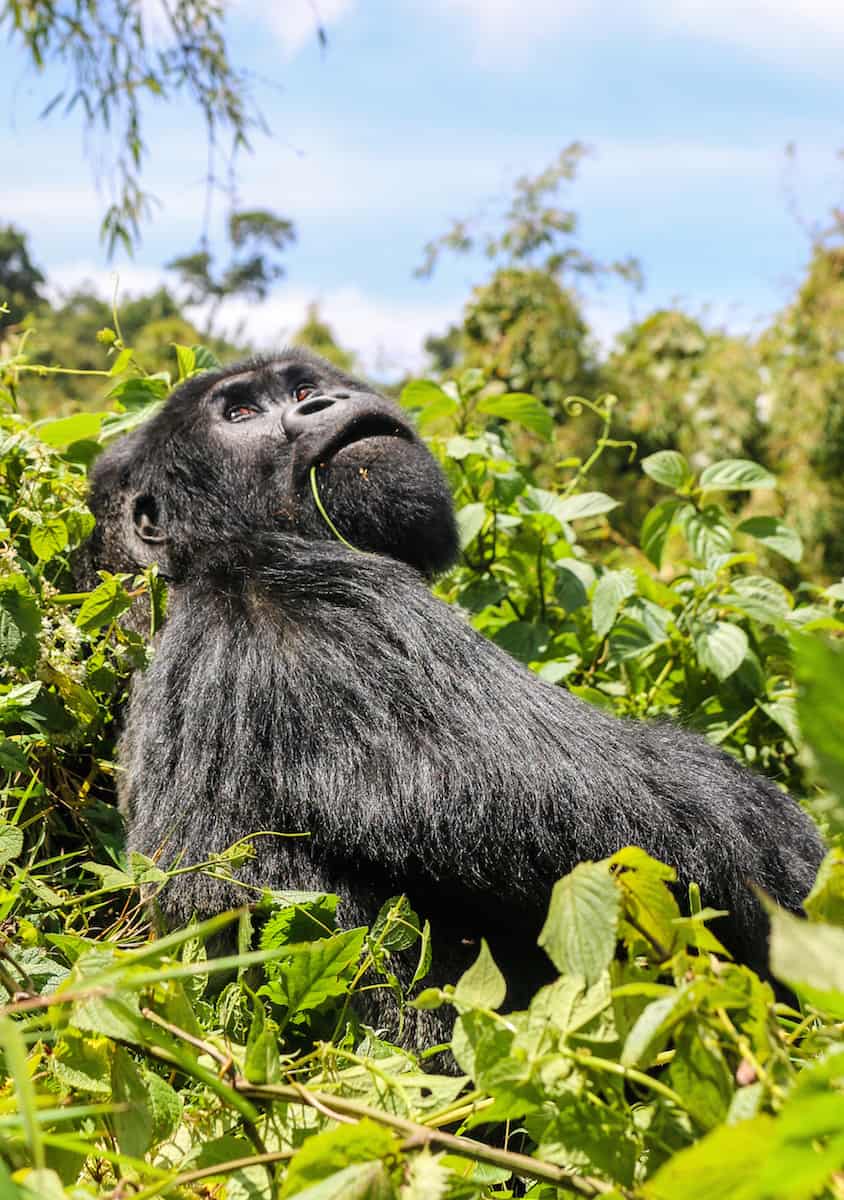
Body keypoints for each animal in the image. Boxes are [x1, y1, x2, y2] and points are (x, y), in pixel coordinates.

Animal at [84, 350, 825, 1051]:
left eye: (302, 389)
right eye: (239, 414)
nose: (324, 402)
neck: (198, 560)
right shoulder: (328, 603)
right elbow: (661, 831)